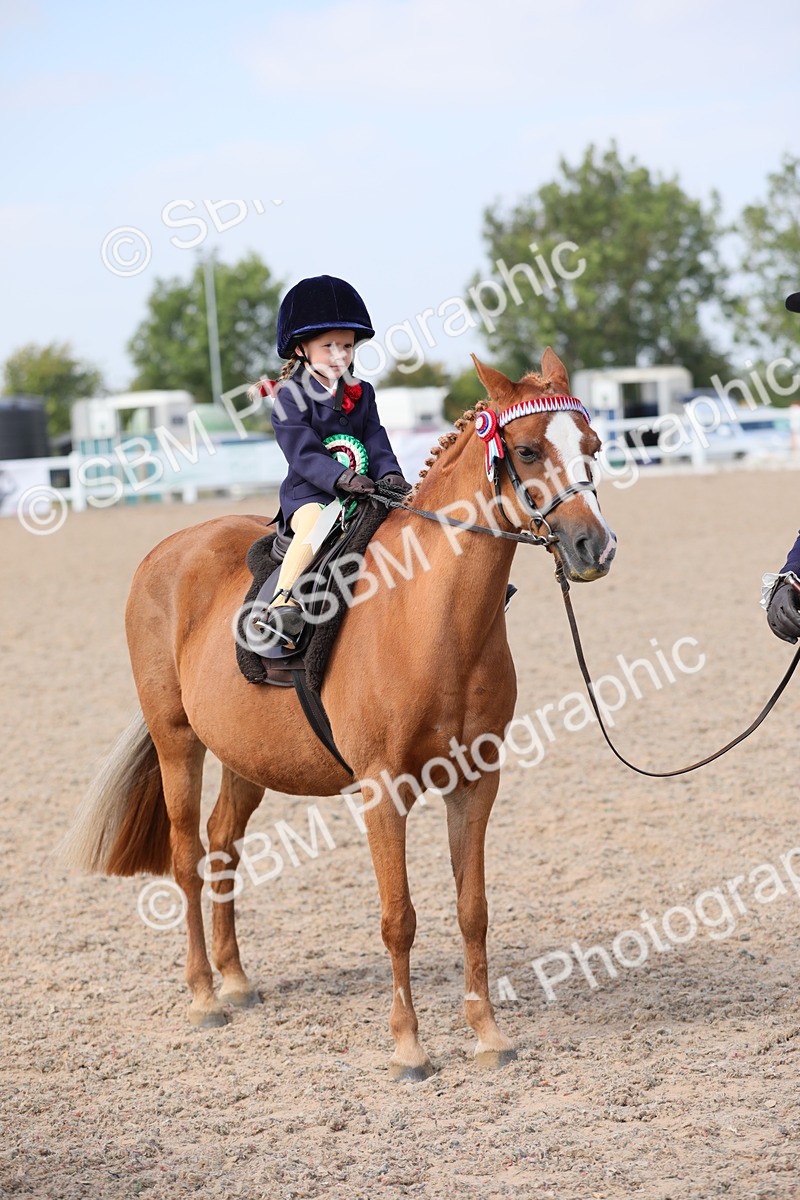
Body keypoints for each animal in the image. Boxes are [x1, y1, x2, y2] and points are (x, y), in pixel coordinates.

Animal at [61, 349, 616, 1081]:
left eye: (593, 446)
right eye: (525, 451)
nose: (593, 548)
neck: (429, 616)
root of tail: (171, 549)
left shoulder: (476, 782)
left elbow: (472, 909)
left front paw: (488, 1034)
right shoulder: (383, 789)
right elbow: (398, 917)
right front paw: (409, 1046)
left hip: (245, 757)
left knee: (223, 844)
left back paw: (236, 981)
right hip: (178, 742)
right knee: (187, 858)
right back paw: (204, 996)